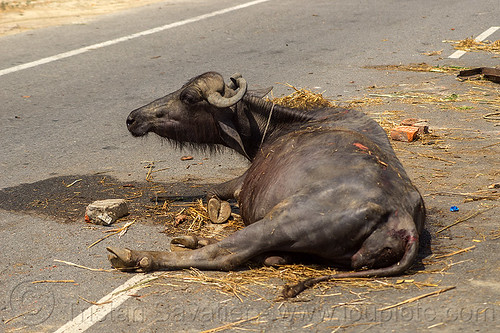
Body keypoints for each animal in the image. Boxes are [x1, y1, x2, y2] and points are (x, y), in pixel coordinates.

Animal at [107, 72, 424, 296]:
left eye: (187, 97)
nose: (133, 118)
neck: (280, 127)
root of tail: (401, 217)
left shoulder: (242, 182)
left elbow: (212, 190)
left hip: (279, 221)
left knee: (224, 254)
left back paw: (136, 257)